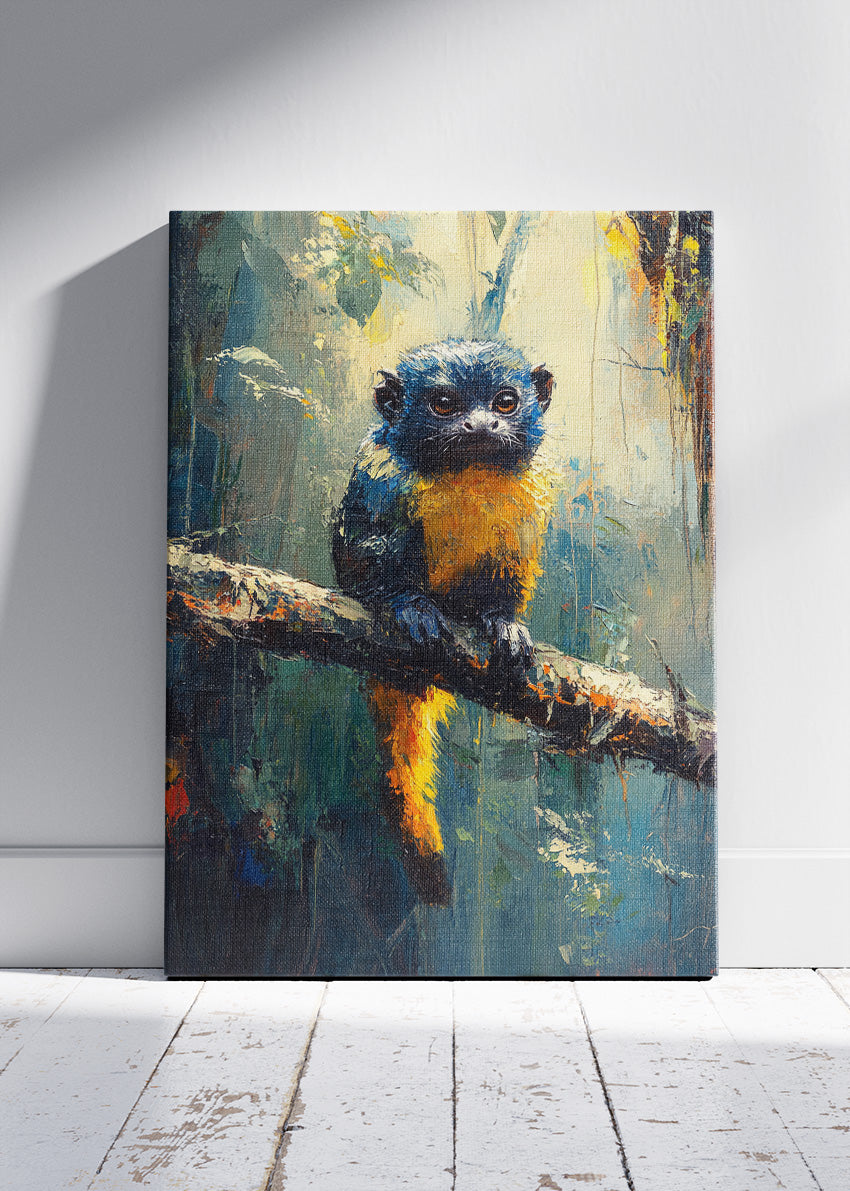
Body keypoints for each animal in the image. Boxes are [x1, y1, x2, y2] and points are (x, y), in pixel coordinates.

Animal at [332, 338, 554, 905]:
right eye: (445, 405)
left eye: (504, 402)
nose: (481, 425)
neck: (466, 475)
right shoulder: (379, 478)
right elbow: (364, 548)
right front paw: (408, 604)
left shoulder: (528, 499)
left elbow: (510, 573)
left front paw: (503, 623)